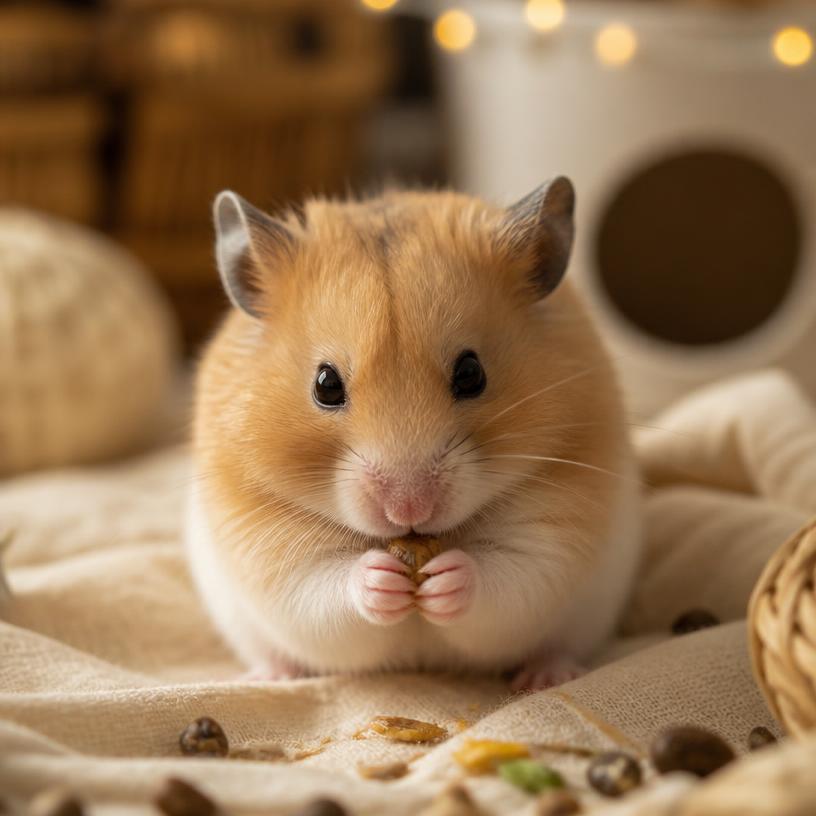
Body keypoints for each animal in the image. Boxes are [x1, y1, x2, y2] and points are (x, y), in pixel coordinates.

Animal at [186, 178, 641, 689]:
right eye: (325, 385)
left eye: (471, 373)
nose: (409, 509)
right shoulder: (274, 553)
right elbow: (324, 589)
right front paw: (380, 577)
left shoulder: (550, 536)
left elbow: (507, 579)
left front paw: (447, 576)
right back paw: (272, 676)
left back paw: (546, 677)